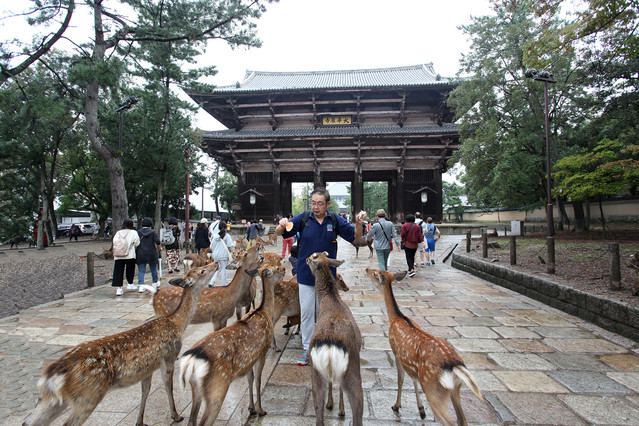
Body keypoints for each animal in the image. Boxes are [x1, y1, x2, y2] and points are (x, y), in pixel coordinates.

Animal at [23, 262, 220, 426]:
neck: (177, 323)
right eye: (202, 270)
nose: (216, 263)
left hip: (51, 401)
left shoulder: (148, 367)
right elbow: (167, 386)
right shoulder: (169, 357)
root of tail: (51, 374)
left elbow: (145, 391)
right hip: (88, 396)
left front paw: (140, 421)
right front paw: (176, 415)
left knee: (29, 422)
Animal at [178, 262, 282, 424]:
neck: (263, 311)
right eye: (276, 268)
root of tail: (190, 361)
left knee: (191, 420)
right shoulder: (262, 352)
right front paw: (260, 410)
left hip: (196, 390)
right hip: (217, 387)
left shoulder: (248, 360)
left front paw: (251, 408)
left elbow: (250, 379)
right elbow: (258, 381)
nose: (284, 269)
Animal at [306, 251, 362, 424]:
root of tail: (330, 348)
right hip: (352, 371)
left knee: (319, 415)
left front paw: (331, 405)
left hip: (315, 374)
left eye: (314, 256)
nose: (305, 258)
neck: (332, 300)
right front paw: (340, 410)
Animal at [364, 268, 484, 424]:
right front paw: (421, 410)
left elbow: (401, 380)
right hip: (455, 389)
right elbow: (413, 379)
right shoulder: (412, 365)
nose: (366, 269)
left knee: (450, 421)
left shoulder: (396, 352)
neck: (396, 318)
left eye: (375, 273)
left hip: (433, 389)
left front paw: (396, 406)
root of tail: (455, 366)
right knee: (462, 420)